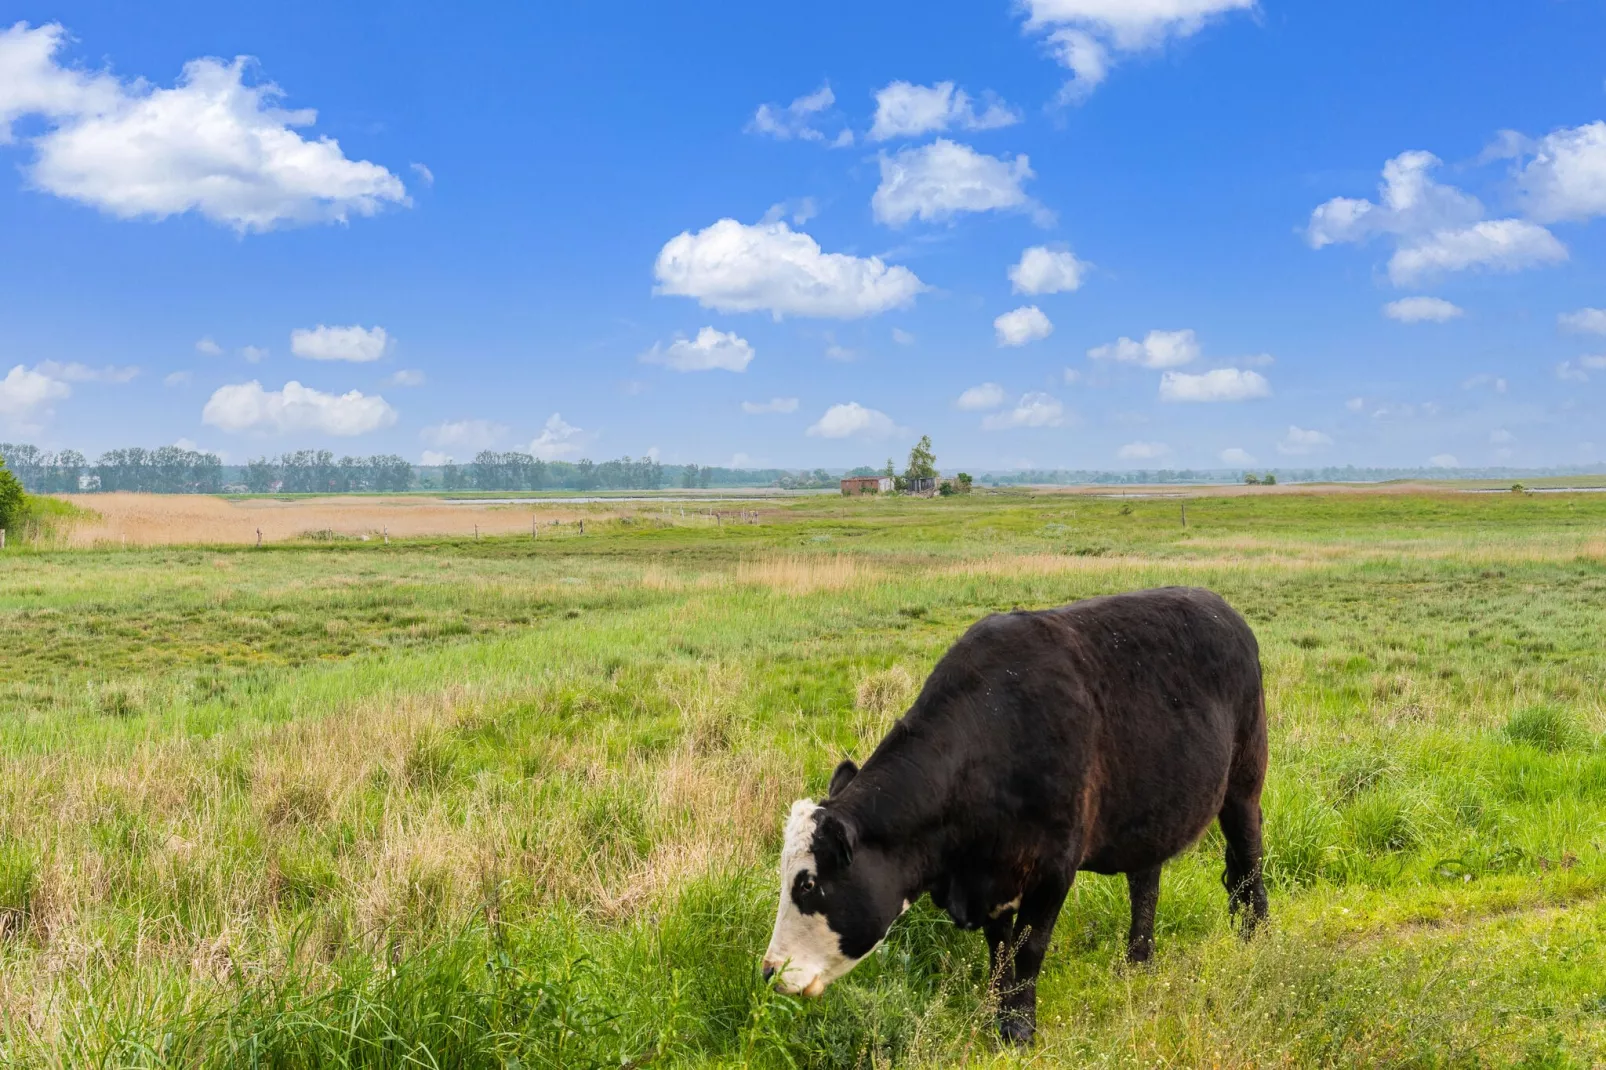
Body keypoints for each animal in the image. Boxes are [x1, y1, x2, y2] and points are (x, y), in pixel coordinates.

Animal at [754, 584, 1265, 1041]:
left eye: (808, 884)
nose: (769, 970)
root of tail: (1220, 607)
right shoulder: (992, 879)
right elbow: (999, 950)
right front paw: (998, 1017)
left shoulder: (1053, 870)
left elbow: (1028, 950)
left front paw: (1019, 1029)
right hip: (1150, 814)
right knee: (1146, 885)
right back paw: (1138, 962)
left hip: (1244, 785)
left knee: (1249, 861)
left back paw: (1254, 939)